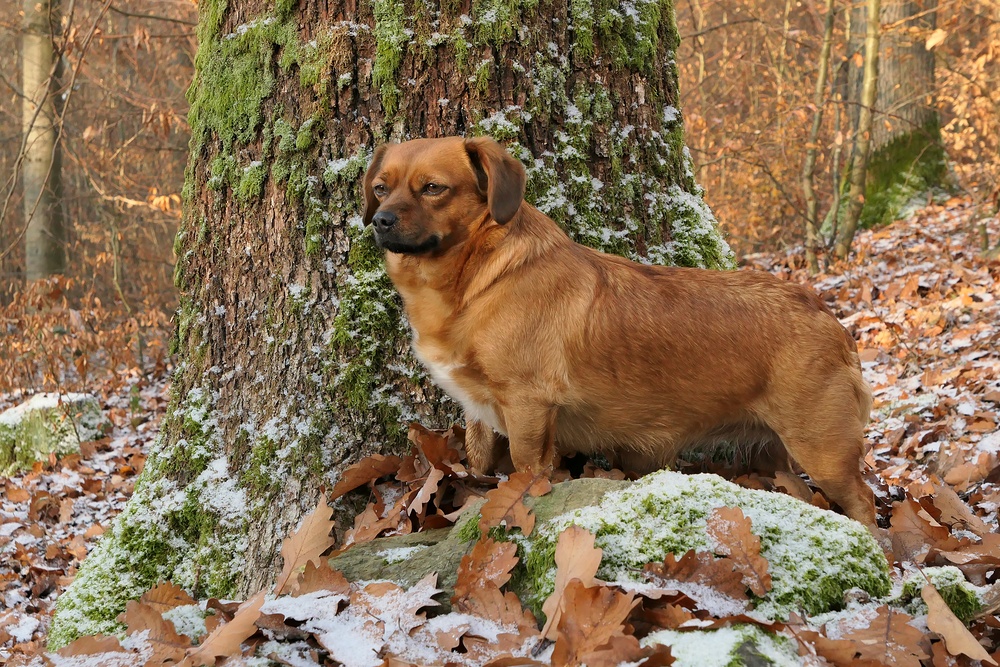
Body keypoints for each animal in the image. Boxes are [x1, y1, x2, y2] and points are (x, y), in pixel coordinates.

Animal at [362, 138, 876, 528]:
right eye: (380, 189)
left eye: (433, 188)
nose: (380, 221)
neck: (478, 277)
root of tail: (826, 315)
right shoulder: (479, 414)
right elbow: (479, 463)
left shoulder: (528, 408)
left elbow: (526, 470)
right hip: (774, 453)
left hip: (822, 450)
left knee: (863, 501)